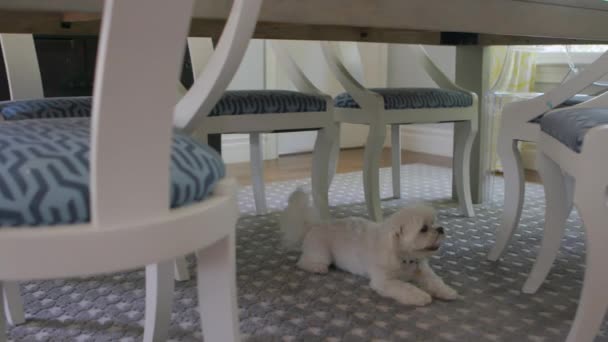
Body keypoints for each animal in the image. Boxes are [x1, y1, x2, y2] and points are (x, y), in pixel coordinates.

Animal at [280, 190, 460, 308]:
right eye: (423, 229)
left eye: (434, 222)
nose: (441, 229)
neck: (403, 256)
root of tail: (313, 225)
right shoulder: (385, 281)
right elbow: (405, 287)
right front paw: (420, 295)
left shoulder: (423, 271)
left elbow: (435, 281)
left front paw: (447, 291)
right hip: (321, 253)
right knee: (304, 262)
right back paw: (317, 268)